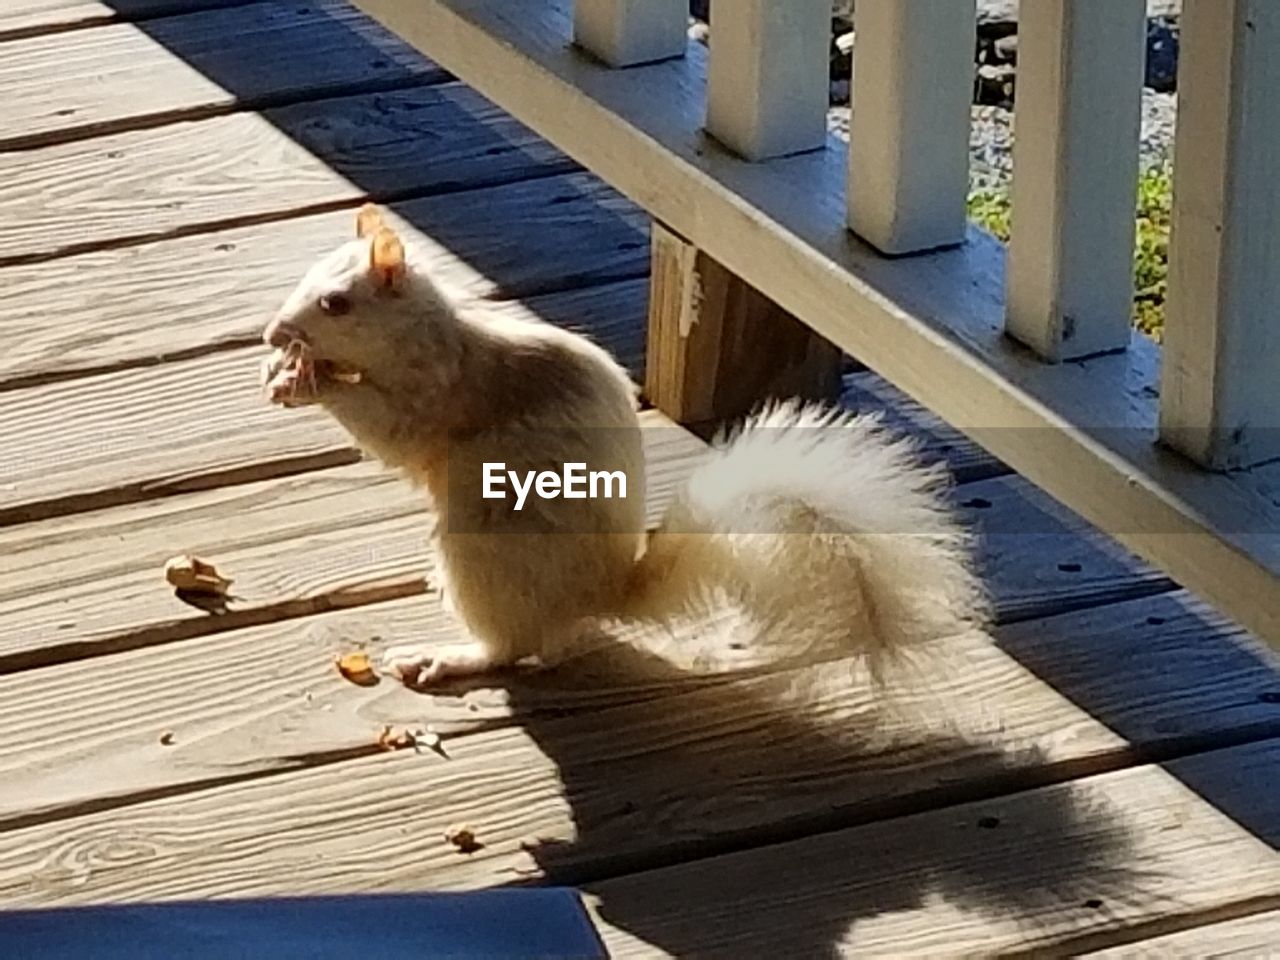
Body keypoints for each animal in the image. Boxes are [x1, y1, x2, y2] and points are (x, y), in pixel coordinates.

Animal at [257, 204, 977, 686]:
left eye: (336, 303)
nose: (271, 333)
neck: (428, 328)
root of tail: (598, 595)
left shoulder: (437, 388)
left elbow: (387, 428)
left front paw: (304, 382)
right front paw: (280, 371)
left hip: (485, 550)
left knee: (510, 647)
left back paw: (446, 657)